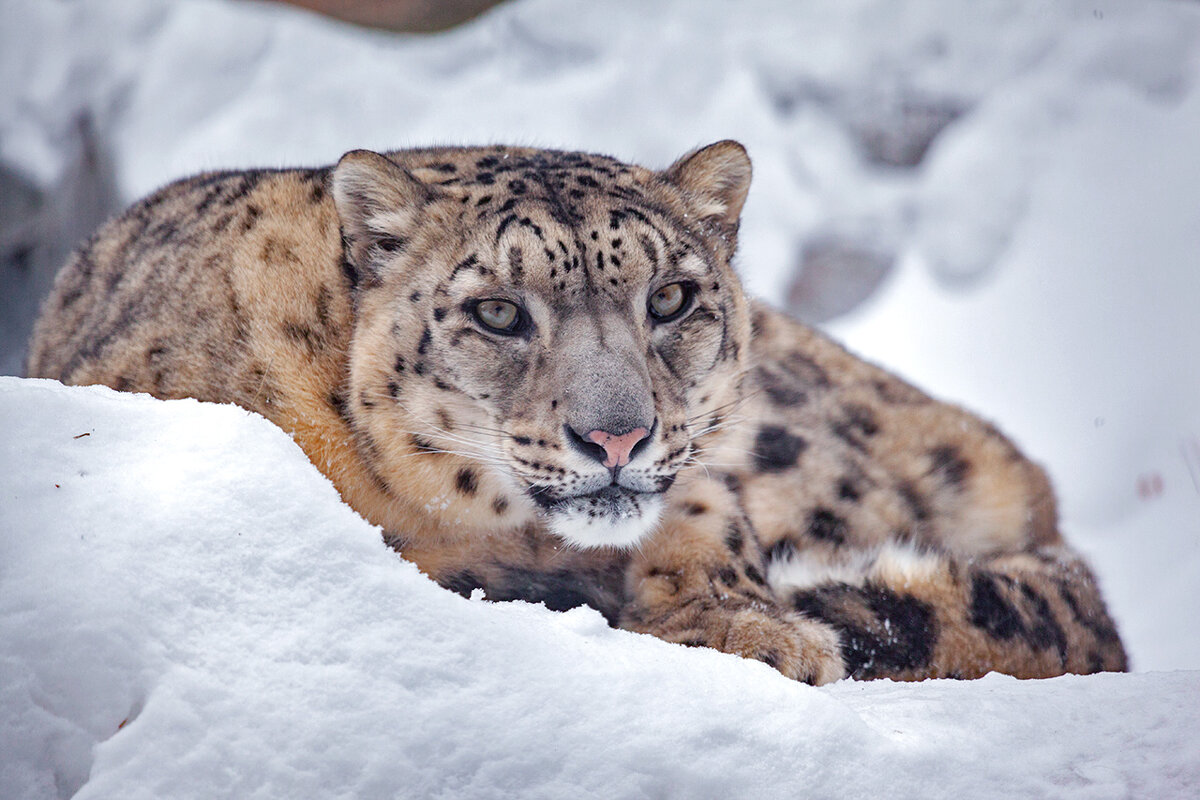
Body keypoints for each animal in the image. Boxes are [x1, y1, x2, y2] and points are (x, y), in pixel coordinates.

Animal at [25, 142, 1123, 681]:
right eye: (499, 311)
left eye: (670, 297)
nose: (618, 434)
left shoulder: (708, 476)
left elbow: (706, 520)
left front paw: (755, 624)